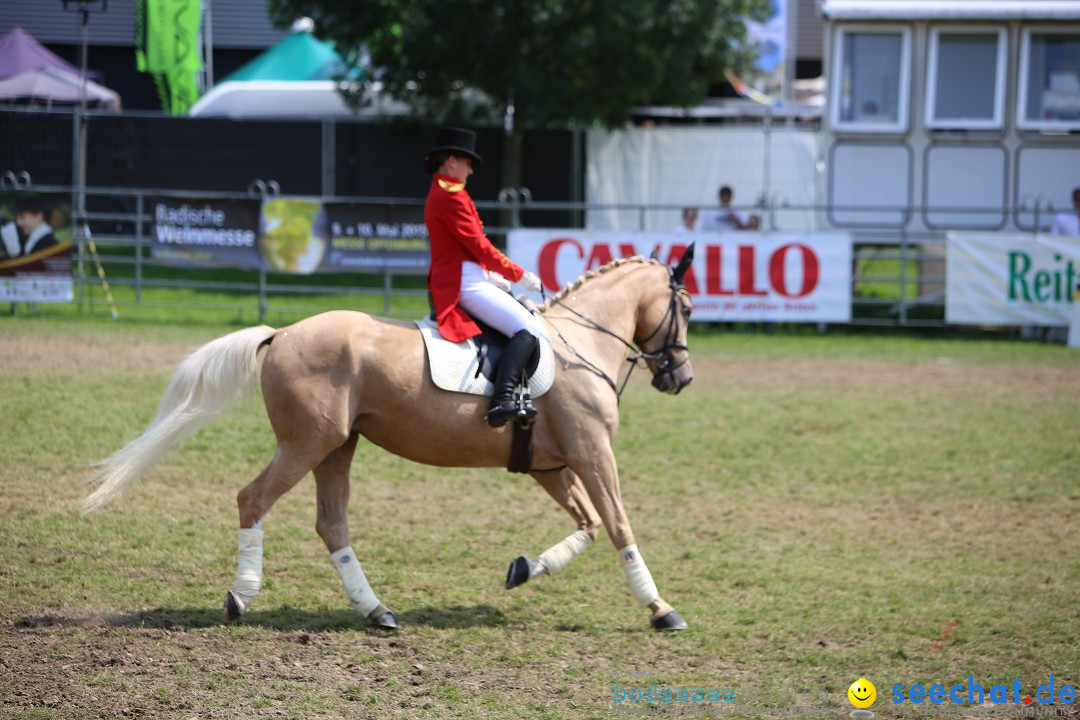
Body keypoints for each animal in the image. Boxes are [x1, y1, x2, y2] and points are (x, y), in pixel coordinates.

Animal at [79, 250, 695, 634]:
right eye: (686, 308)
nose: (681, 379)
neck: (578, 344)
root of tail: (281, 333)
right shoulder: (593, 455)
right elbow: (618, 526)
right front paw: (661, 609)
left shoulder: (552, 465)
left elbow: (588, 526)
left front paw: (523, 570)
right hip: (308, 442)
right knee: (253, 499)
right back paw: (241, 597)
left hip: (336, 446)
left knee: (331, 524)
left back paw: (377, 612)